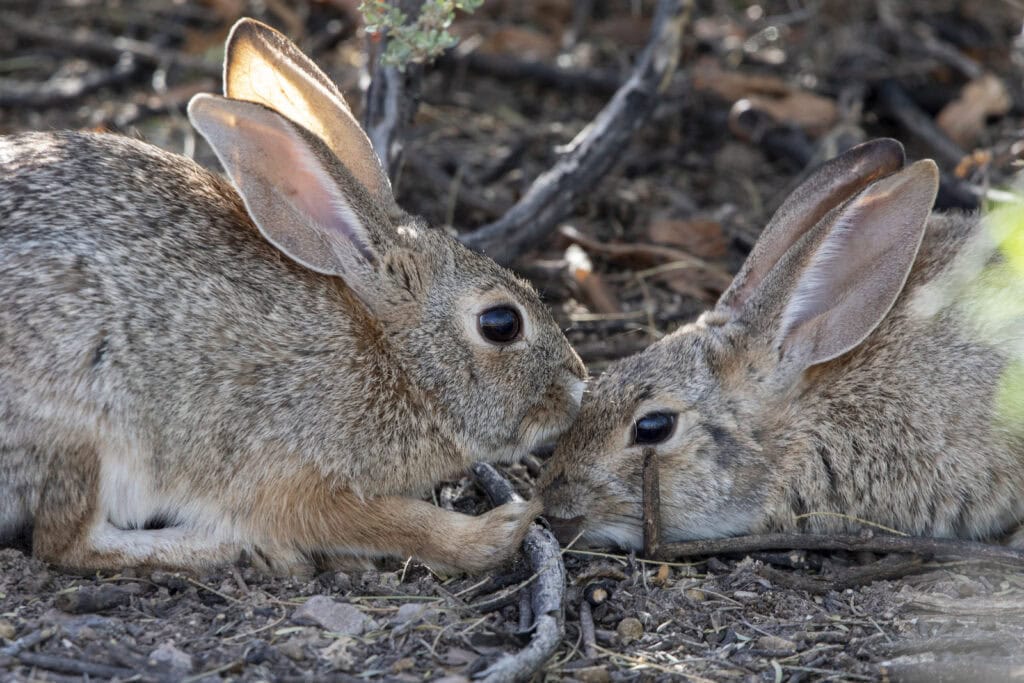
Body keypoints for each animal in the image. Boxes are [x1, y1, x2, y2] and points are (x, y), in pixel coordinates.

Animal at [0, 18, 586, 574]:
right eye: (501, 324)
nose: (577, 384)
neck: (397, 361)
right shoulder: (292, 471)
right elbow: (385, 520)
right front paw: (498, 530)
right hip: (85, 428)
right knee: (68, 542)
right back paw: (227, 548)